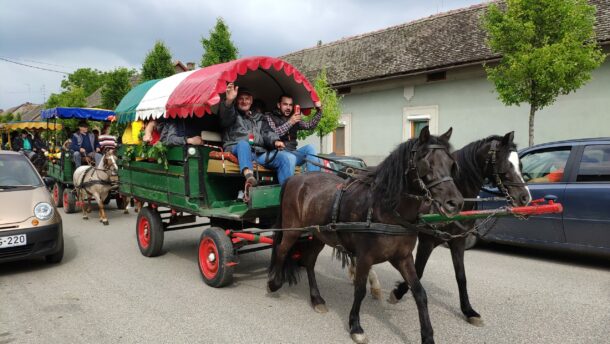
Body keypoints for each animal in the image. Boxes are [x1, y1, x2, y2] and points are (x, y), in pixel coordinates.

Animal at [268, 127, 464, 344]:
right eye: (426, 163)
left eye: (452, 164)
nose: (455, 203)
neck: (386, 210)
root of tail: (295, 178)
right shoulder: (364, 257)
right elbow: (360, 290)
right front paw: (355, 326)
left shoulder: (403, 257)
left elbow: (420, 292)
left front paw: (428, 335)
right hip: (292, 229)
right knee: (282, 250)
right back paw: (274, 283)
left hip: (319, 235)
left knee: (309, 262)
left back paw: (316, 299)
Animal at [388, 131, 528, 326]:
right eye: (505, 164)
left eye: (520, 164)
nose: (525, 198)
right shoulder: (427, 242)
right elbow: (418, 270)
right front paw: (398, 292)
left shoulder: (458, 241)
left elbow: (461, 276)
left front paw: (468, 311)